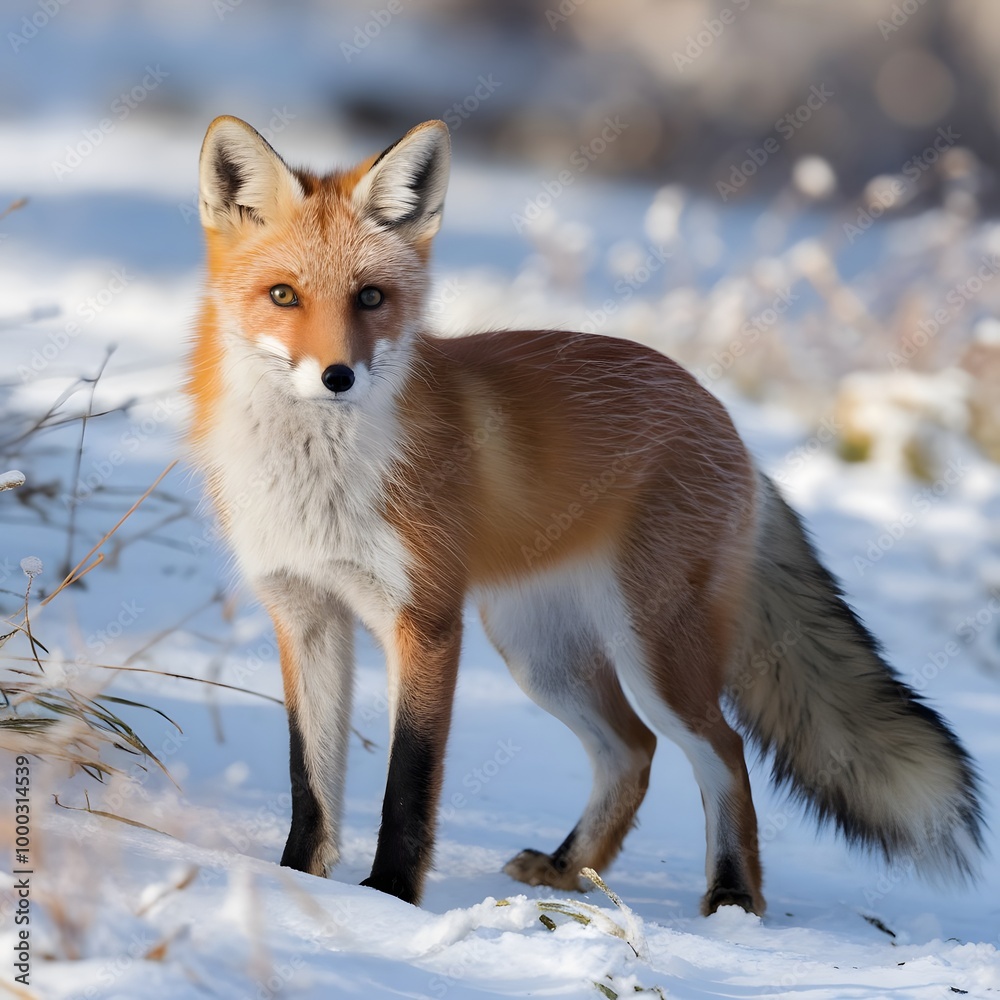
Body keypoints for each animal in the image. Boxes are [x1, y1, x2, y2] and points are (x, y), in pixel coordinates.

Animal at [189, 114, 984, 916]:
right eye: (284, 295)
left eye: (371, 298)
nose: (338, 377)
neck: (318, 486)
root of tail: (725, 420)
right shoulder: (305, 612)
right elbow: (310, 781)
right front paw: (294, 878)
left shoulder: (425, 621)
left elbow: (408, 782)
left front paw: (389, 899)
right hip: (541, 654)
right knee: (634, 749)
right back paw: (570, 868)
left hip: (652, 650)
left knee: (720, 748)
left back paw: (732, 897)